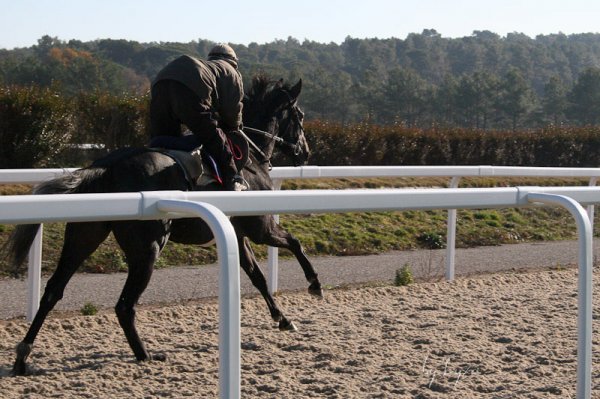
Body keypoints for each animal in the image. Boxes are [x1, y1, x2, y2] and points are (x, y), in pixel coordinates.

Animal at [4, 76, 324, 378]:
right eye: (300, 115)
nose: (305, 152)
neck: (250, 160)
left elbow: (258, 277)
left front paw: (283, 318)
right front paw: (314, 284)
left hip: (84, 237)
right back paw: (144, 354)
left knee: (53, 291)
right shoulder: (260, 228)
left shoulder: (239, 235)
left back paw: (22, 356)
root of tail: (105, 168)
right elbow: (295, 243)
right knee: (124, 306)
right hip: (147, 249)